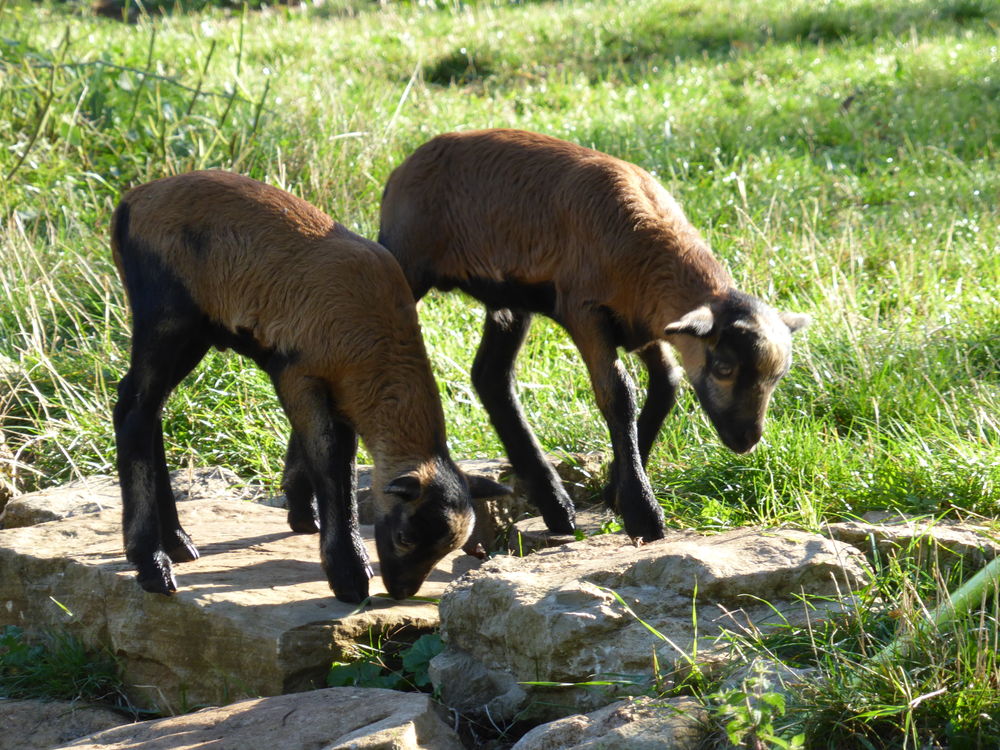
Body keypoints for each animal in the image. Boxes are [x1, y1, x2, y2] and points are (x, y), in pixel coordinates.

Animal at [110, 170, 508, 604]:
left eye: (446, 550)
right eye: (405, 537)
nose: (402, 592)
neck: (378, 340)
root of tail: (132, 200)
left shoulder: (344, 392)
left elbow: (334, 458)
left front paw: (306, 518)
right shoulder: (298, 373)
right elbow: (331, 462)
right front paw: (349, 574)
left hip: (193, 332)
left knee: (149, 409)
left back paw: (178, 541)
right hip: (167, 316)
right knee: (133, 410)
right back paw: (152, 562)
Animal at [375, 129, 808, 543]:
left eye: (779, 376)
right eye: (724, 367)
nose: (747, 439)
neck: (646, 247)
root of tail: (403, 168)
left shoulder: (644, 325)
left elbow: (667, 383)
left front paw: (616, 491)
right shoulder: (584, 311)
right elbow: (619, 394)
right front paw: (642, 513)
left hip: (508, 300)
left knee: (490, 377)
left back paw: (556, 507)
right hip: (407, 260)